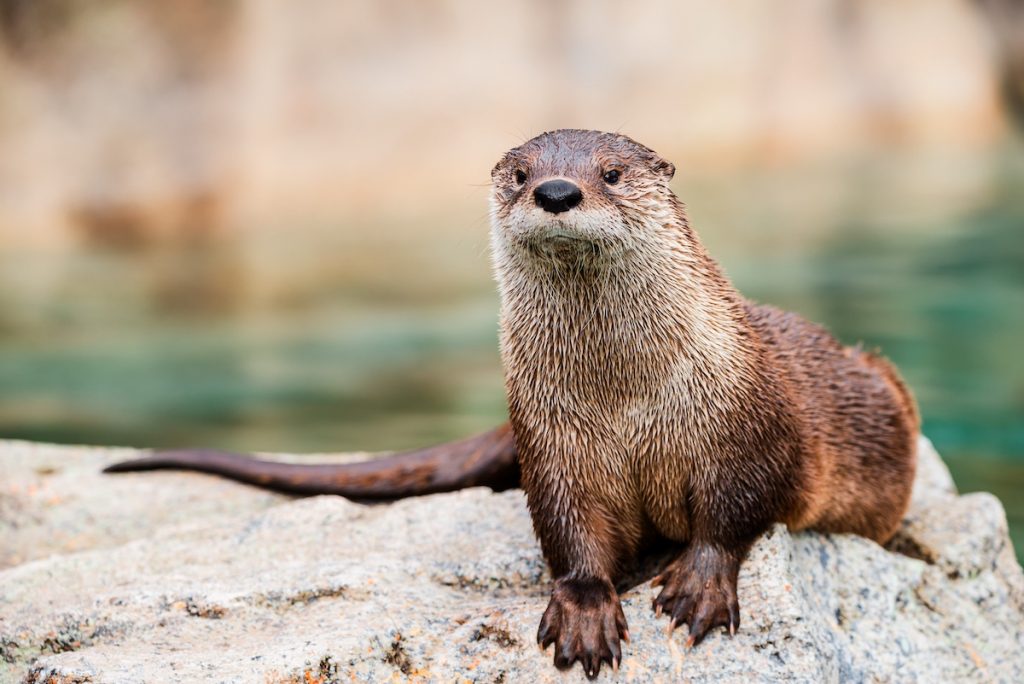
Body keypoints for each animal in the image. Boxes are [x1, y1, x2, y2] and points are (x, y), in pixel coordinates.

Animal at [106, 129, 919, 680]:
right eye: (523, 174)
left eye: (611, 173)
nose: (557, 192)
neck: (627, 397)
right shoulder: (551, 441)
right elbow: (568, 530)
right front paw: (587, 609)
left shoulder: (750, 419)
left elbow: (741, 506)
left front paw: (697, 583)